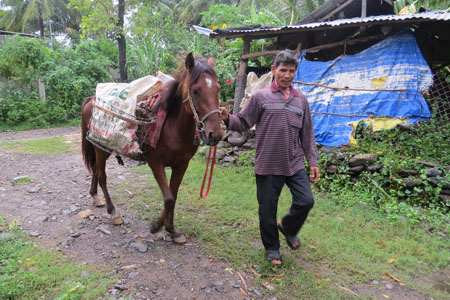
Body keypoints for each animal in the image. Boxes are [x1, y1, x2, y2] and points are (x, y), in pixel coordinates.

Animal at [81, 53, 225, 244]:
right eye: (195, 90)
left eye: (218, 88)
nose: (215, 134)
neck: (174, 127)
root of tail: (91, 99)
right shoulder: (156, 163)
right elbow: (169, 198)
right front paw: (156, 227)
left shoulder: (182, 165)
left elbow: (174, 195)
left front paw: (172, 230)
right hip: (101, 148)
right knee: (102, 177)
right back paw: (113, 212)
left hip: (102, 147)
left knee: (96, 171)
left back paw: (96, 197)